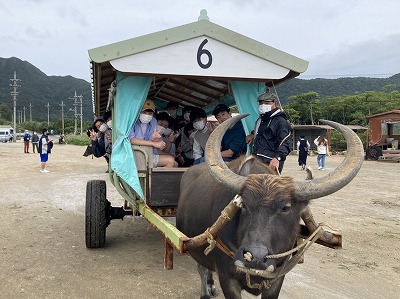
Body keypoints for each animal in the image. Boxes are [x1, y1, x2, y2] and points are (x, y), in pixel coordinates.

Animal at [177, 113, 364, 298]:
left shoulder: (277, 278)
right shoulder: (227, 278)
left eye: (286, 208)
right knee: (202, 268)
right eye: (244, 205)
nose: (254, 257)